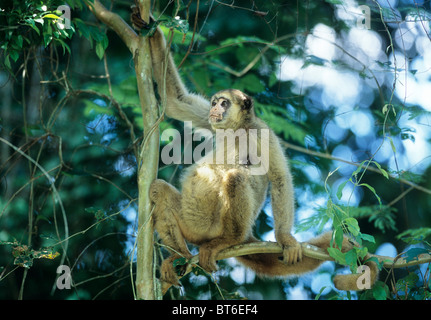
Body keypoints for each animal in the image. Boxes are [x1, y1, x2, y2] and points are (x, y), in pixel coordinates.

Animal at [133, 10, 380, 290]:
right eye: (214, 103)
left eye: (224, 103)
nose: (214, 108)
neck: (237, 129)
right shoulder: (211, 122)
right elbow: (176, 101)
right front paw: (152, 29)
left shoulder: (262, 131)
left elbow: (279, 177)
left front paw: (285, 238)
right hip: (192, 224)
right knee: (158, 189)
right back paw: (180, 257)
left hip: (216, 225)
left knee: (235, 177)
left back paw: (229, 240)